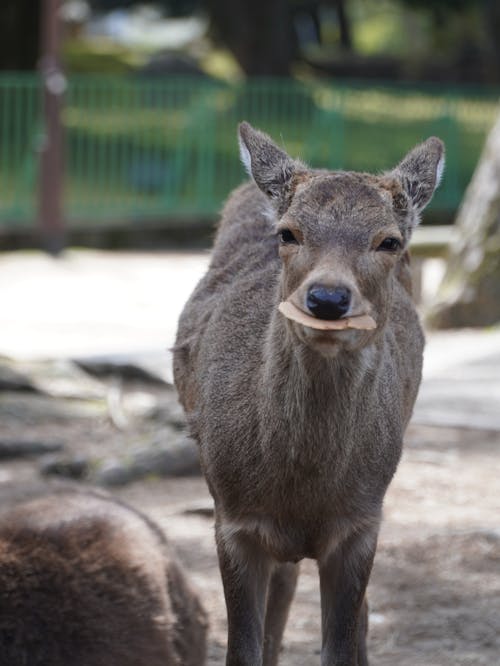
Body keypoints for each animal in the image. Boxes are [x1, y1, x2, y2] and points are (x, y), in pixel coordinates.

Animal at [174, 122, 444, 660]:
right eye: (288, 233)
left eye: (388, 241)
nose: (327, 298)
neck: (302, 490)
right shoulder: (231, 521)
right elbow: (242, 649)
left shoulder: (362, 523)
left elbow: (339, 645)